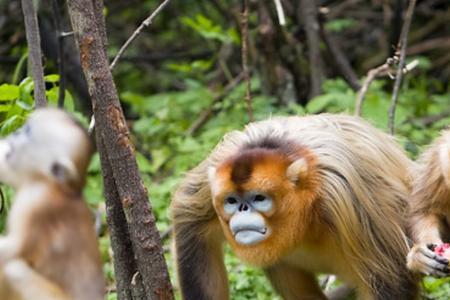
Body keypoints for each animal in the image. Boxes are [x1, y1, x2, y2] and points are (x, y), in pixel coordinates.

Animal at [171, 113, 418, 300]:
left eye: (259, 198)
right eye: (231, 201)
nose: (243, 208)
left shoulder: (344, 193)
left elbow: (389, 274)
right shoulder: (217, 169)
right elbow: (189, 221)